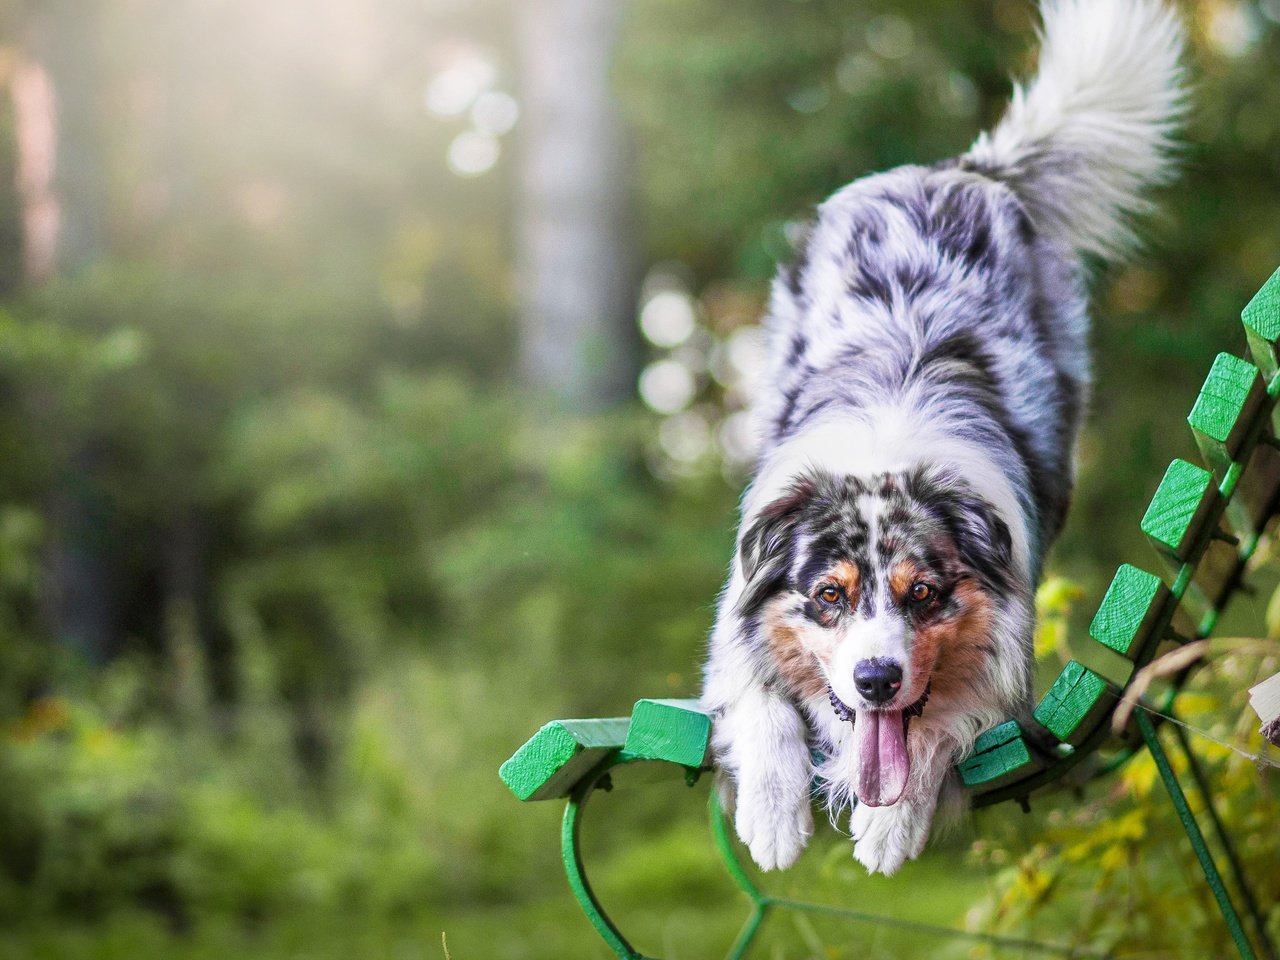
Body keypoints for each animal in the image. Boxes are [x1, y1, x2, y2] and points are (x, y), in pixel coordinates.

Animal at [706, 0, 1182, 875]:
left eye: (924, 594)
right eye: (829, 597)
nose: (875, 680)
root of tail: (962, 171)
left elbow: (940, 730)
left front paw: (890, 825)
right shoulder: (737, 626)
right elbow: (760, 700)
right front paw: (772, 814)